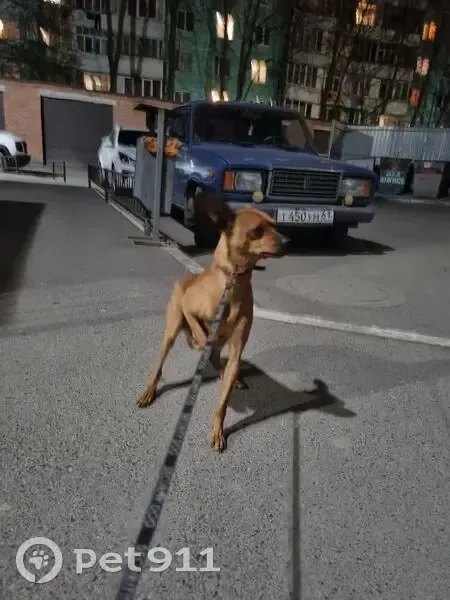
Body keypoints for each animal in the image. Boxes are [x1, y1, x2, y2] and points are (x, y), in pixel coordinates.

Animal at [136, 191, 285, 451]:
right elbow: (199, 330)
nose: (287, 241)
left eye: (274, 225)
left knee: (218, 359)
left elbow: (223, 402)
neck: (232, 282)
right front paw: (200, 340)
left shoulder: (236, 351)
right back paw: (149, 391)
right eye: (256, 230)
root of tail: (185, 278)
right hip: (171, 332)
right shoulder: (190, 310)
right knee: (160, 367)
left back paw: (228, 376)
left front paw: (218, 430)